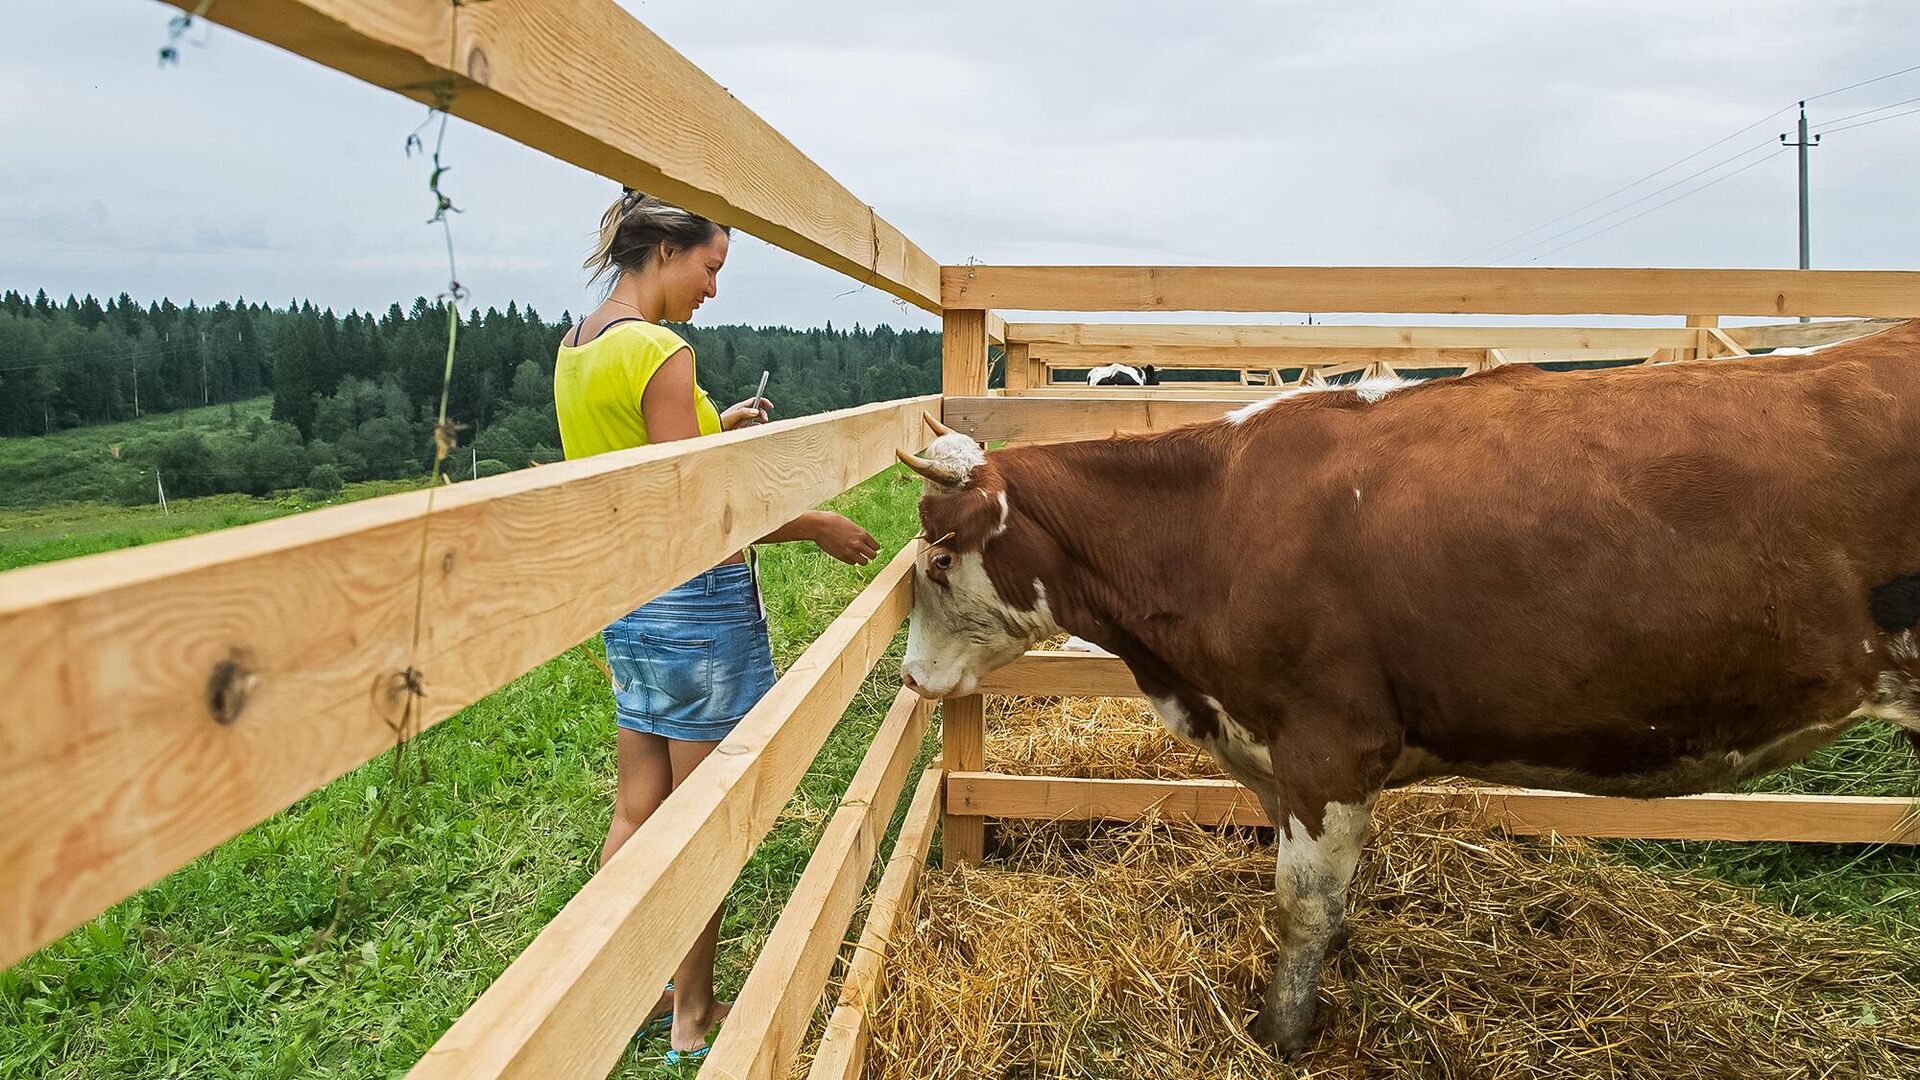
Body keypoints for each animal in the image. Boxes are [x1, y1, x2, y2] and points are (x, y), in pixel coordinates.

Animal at [894, 320, 1920, 1053]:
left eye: (939, 558)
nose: (909, 676)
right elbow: (1319, 895)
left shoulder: (1329, 742)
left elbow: (1302, 900)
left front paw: (1282, 1032)